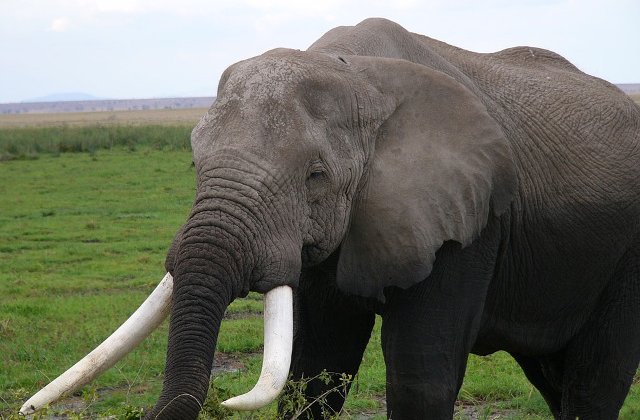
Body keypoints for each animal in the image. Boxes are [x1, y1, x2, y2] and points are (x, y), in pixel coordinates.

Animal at [21, 17, 640, 420]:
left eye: (315, 175)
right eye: (194, 162)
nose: (25, 408)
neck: (359, 74)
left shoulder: (470, 226)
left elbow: (420, 382)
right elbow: (313, 373)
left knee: (595, 379)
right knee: (553, 375)